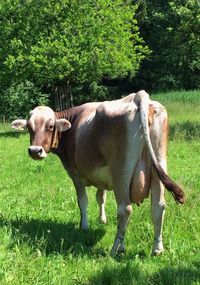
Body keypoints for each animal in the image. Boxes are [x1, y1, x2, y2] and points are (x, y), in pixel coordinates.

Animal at [10, 90, 185, 255]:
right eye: (29, 128)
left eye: (51, 126)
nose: (35, 150)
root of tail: (138, 96)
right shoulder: (102, 177)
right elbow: (101, 197)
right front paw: (102, 220)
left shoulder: (75, 175)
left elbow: (83, 201)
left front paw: (84, 226)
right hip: (158, 164)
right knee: (158, 207)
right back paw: (157, 248)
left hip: (121, 171)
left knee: (125, 209)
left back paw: (116, 249)